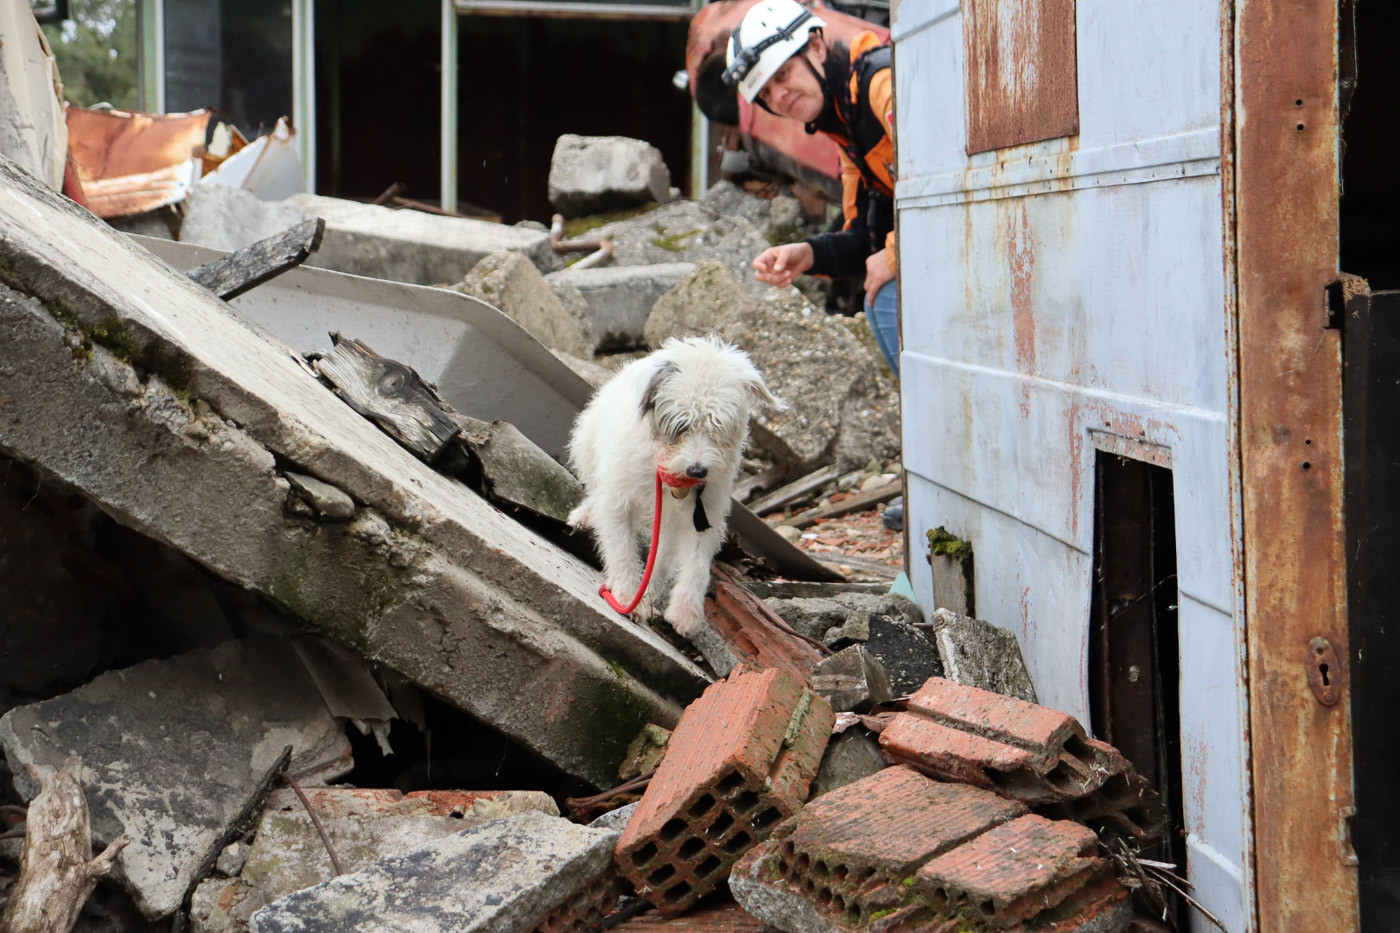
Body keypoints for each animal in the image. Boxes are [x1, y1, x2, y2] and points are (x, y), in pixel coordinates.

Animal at [568, 336, 784, 638]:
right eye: (681, 424)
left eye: (719, 426)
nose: (697, 470)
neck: (669, 471)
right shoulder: (618, 500)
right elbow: (622, 549)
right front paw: (627, 596)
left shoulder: (702, 514)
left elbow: (696, 564)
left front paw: (685, 611)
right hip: (589, 447)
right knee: (596, 491)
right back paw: (585, 516)